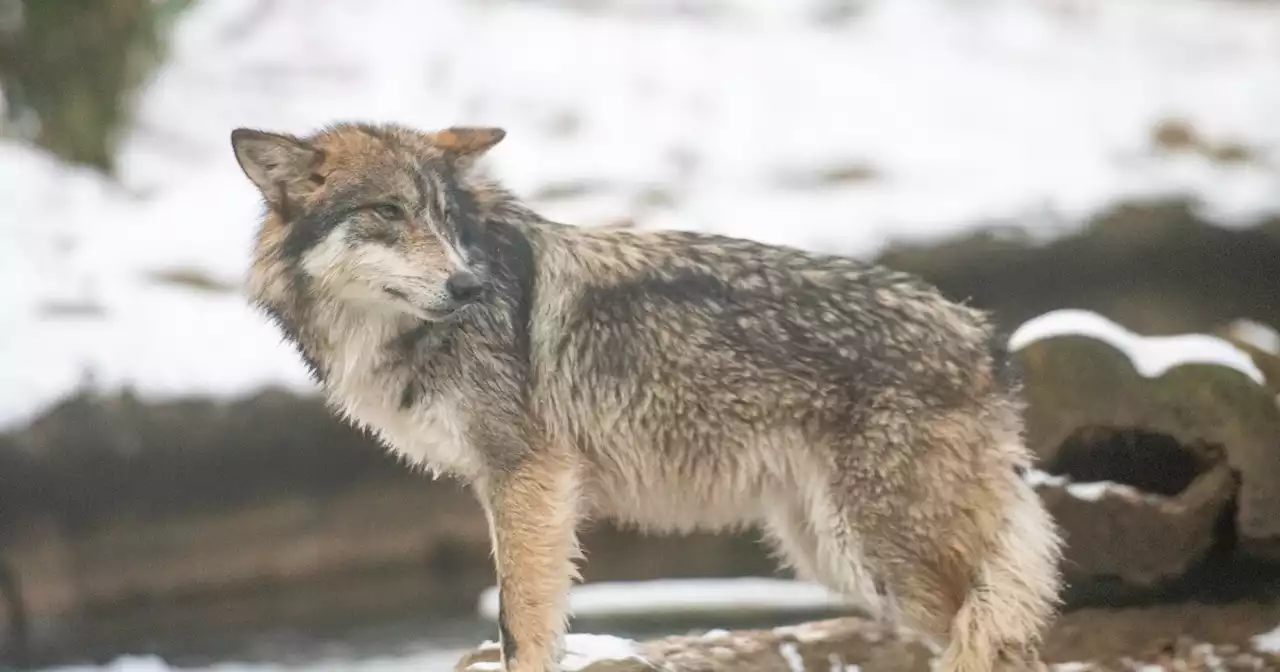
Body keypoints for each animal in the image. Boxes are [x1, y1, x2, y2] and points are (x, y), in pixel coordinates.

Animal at [227, 121, 1059, 670]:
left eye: (443, 217)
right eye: (388, 213)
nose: (465, 285)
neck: (399, 337)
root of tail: (984, 336)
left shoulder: (529, 480)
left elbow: (522, 624)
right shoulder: (512, 486)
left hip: (887, 557)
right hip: (837, 555)